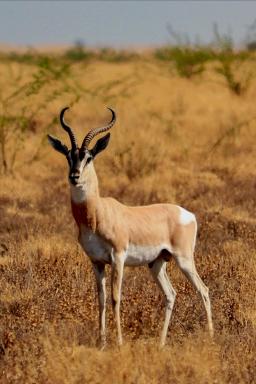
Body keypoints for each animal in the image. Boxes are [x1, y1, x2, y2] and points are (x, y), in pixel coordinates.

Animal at [47, 106, 214, 348]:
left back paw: (210, 338)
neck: (96, 214)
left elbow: (116, 298)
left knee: (203, 289)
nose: (74, 176)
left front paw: (119, 342)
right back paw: (161, 343)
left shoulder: (118, 257)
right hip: (157, 263)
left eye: (89, 157)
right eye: (68, 155)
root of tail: (187, 214)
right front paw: (101, 343)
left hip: (184, 259)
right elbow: (101, 299)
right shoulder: (97, 261)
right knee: (171, 294)